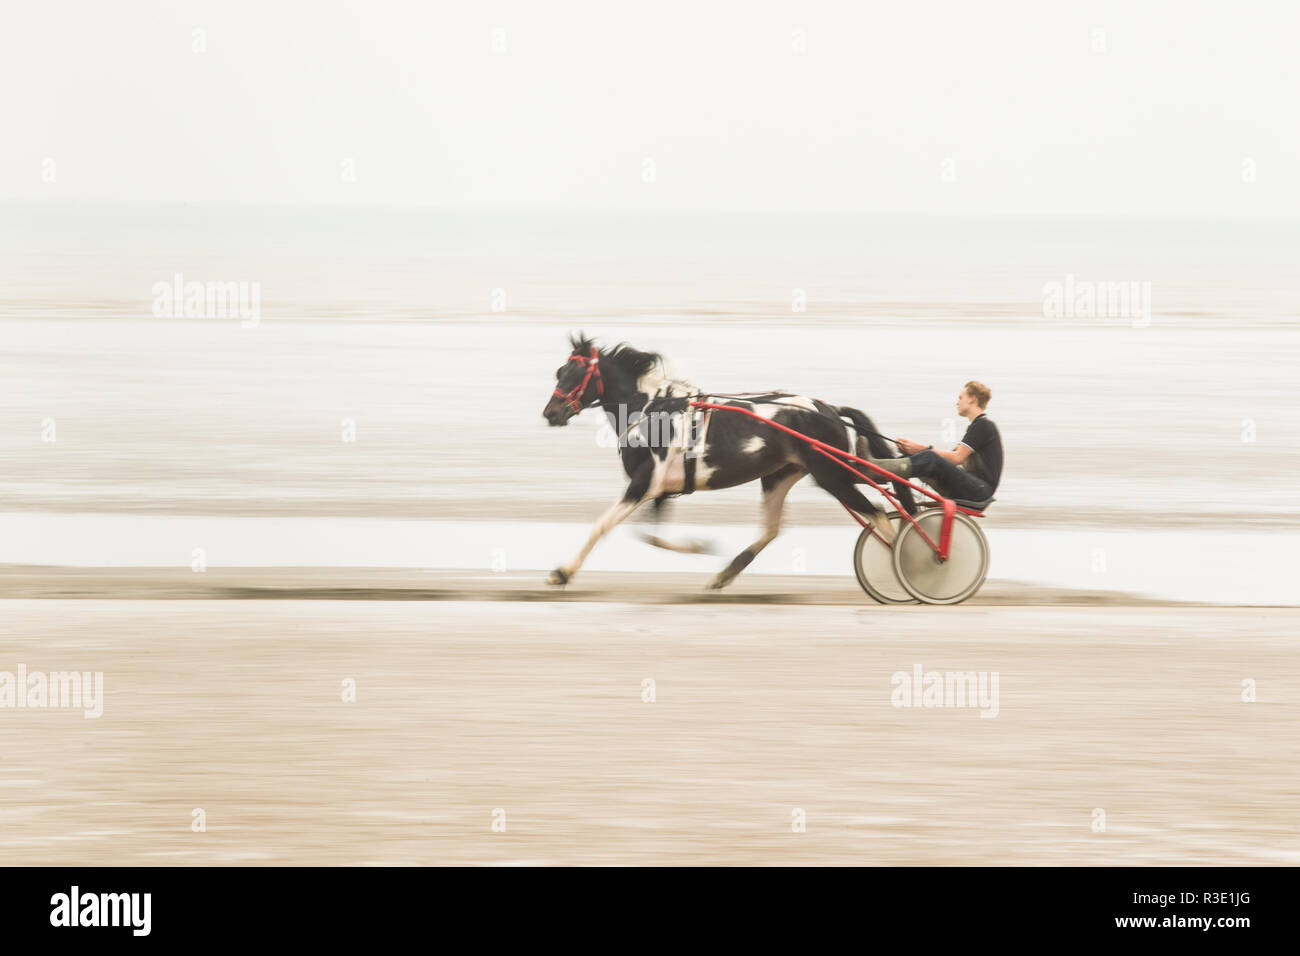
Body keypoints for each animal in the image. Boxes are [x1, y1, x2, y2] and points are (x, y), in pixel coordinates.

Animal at [538, 335, 915, 590]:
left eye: (574, 375)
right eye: (560, 371)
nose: (550, 413)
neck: (651, 410)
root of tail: (828, 409)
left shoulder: (644, 483)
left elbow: (602, 526)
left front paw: (563, 572)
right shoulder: (661, 489)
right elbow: (652, 537)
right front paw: (700, 547)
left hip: (831, 473)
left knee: (880, 515)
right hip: (783, 476)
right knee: (772, 529)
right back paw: (725, 573)